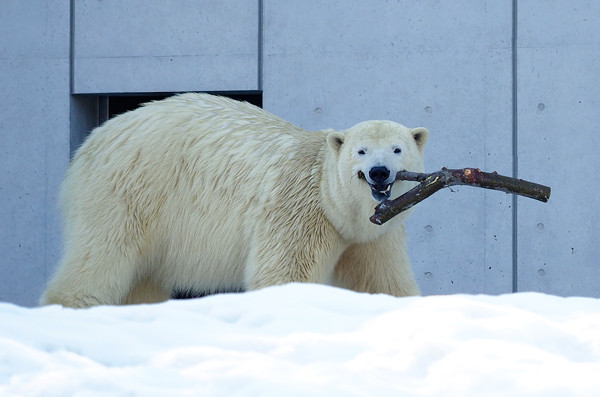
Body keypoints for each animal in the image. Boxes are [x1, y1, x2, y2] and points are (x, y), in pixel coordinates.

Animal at [39, 93, 428, 306]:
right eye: (361, 151)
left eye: (397, 149)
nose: (379, 172)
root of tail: (92, 140)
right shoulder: (299, 211)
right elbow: (283, 274)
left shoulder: (374, 234)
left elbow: (382, 280)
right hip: (127, 190)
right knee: (101, 255)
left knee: (142, 279)